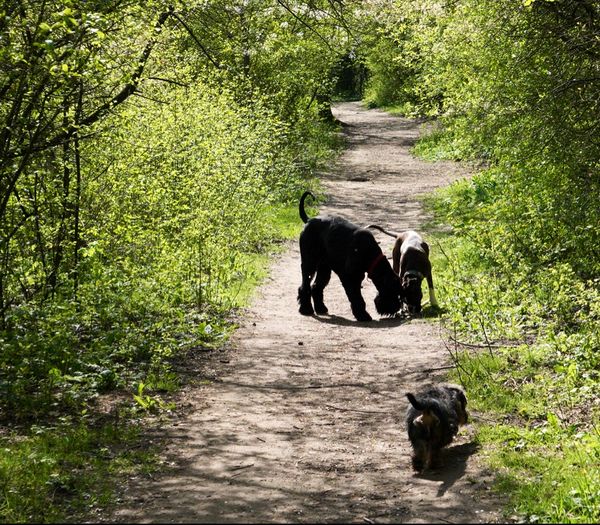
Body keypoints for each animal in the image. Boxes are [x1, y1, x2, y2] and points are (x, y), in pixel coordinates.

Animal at [296, 190, 400, 322]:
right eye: (393, 291)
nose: (397, 308)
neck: (369, 252)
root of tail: (309, 220)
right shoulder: (350, 277)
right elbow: (357, 298)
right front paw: (363, 315)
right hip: (310, 263)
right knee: (305, 286)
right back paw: (306, 309)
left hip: (324, 268)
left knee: (316, 286)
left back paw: (321, 308)